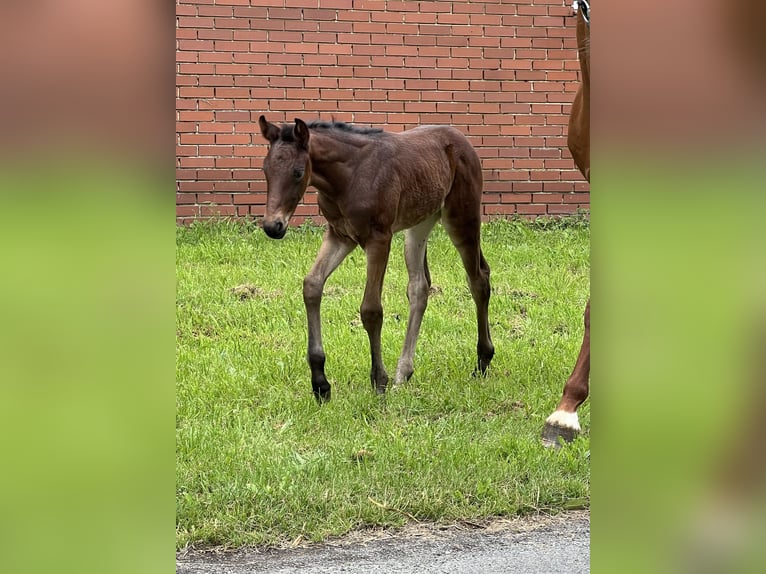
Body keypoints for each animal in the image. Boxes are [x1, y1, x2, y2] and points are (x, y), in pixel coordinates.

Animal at [260, 118, 498, 400]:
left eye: (297, 172)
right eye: (265, 170)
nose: (273, 227)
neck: (348, 177)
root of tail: (463, 141)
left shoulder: (379, 238)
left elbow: (371, 309)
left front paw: (378, 381)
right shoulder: (340, 236)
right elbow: (312, 285)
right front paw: (320, 383)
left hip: (462, 217)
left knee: (478, 279)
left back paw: (482, 360)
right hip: (419, 225)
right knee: (419, 287)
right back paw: (403, 373)